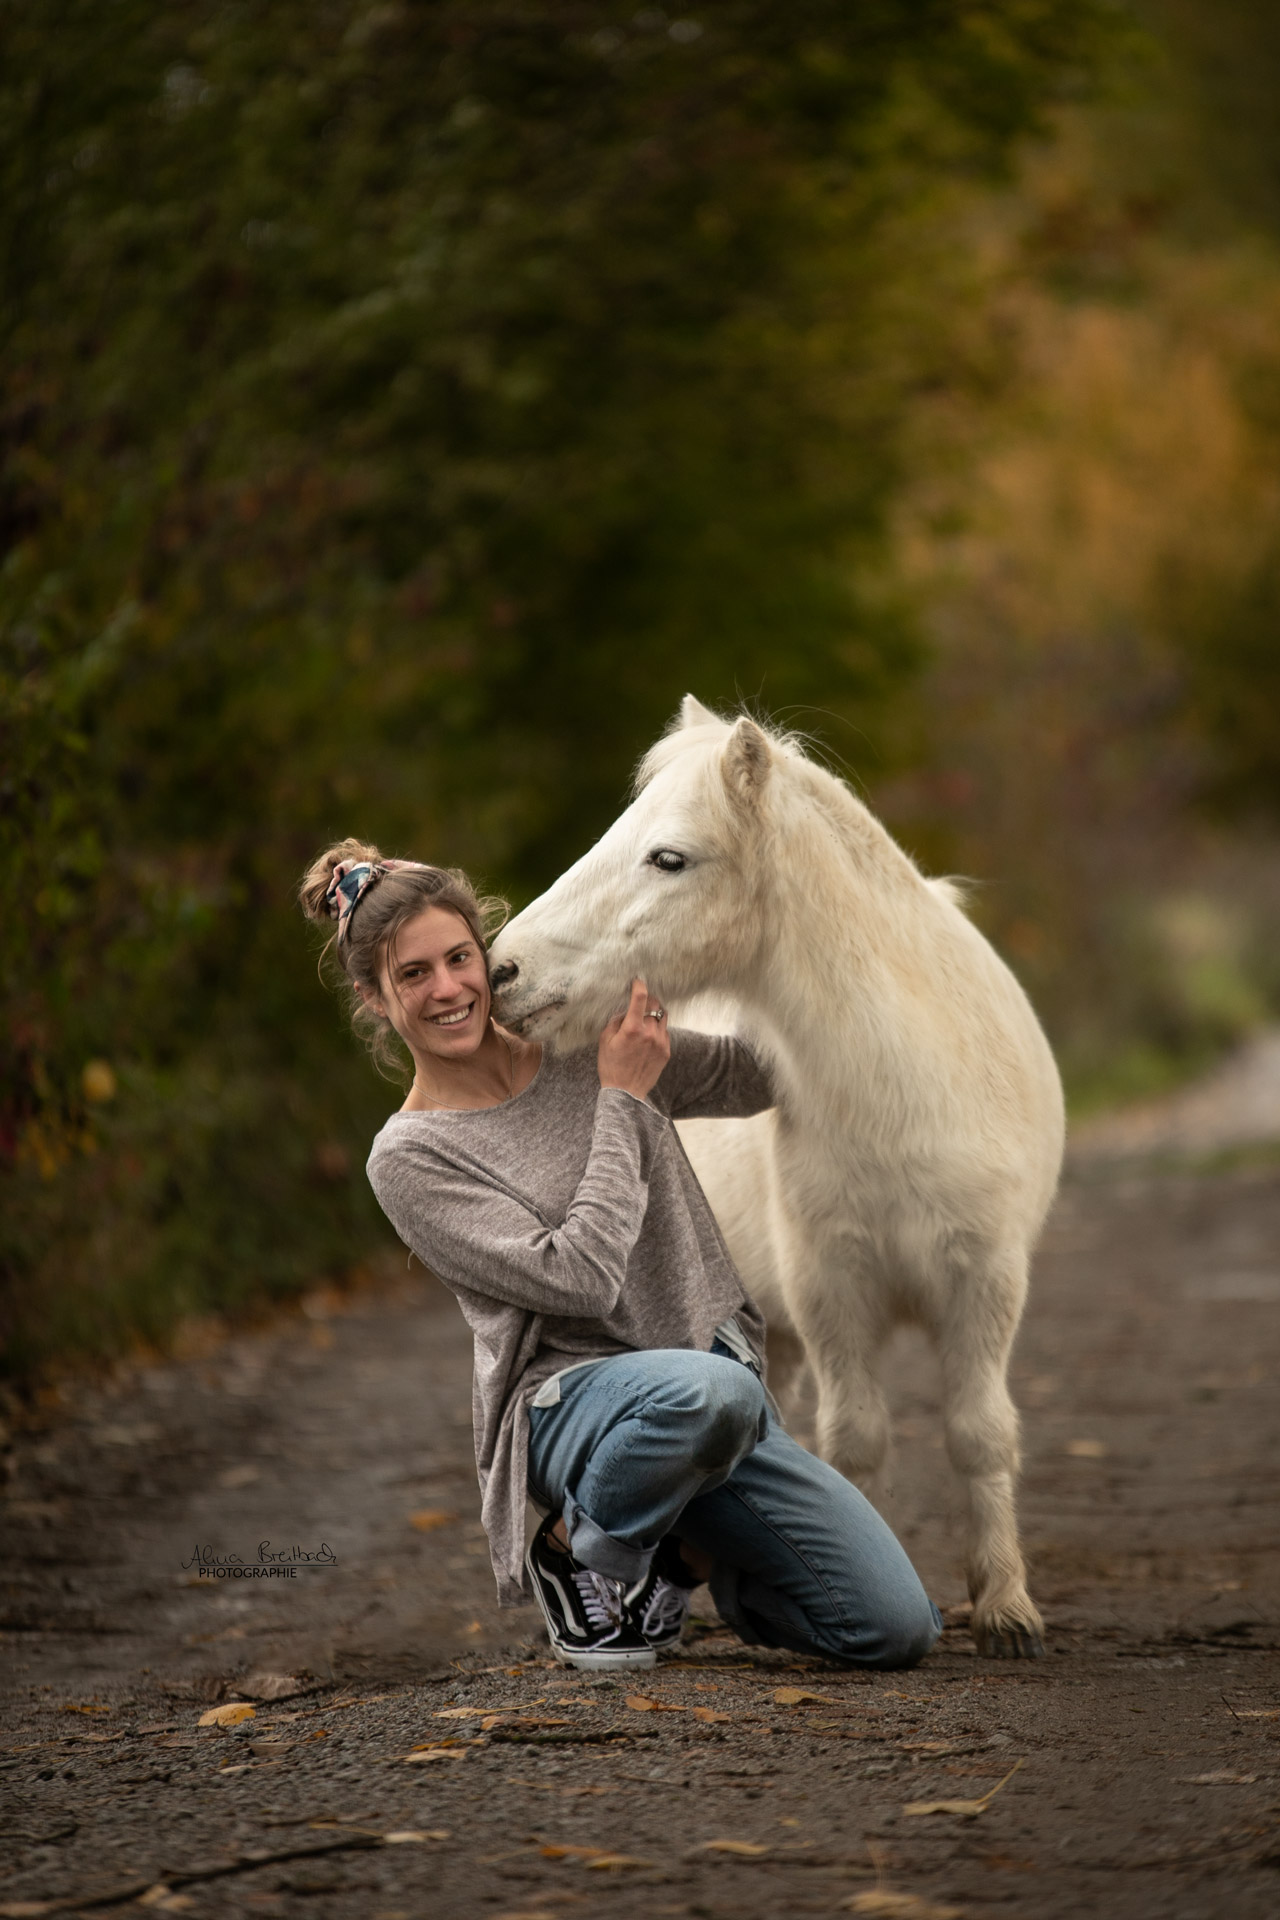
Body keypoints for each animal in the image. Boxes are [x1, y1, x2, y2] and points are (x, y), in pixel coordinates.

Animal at [491, 698, 1059, 1658]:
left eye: (669, 857)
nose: (503, 968)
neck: (909, 1090)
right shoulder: (833, 1290)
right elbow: (857, 1440)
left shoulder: (985, 1282)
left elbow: (980, 1434)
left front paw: (1006, 1608)